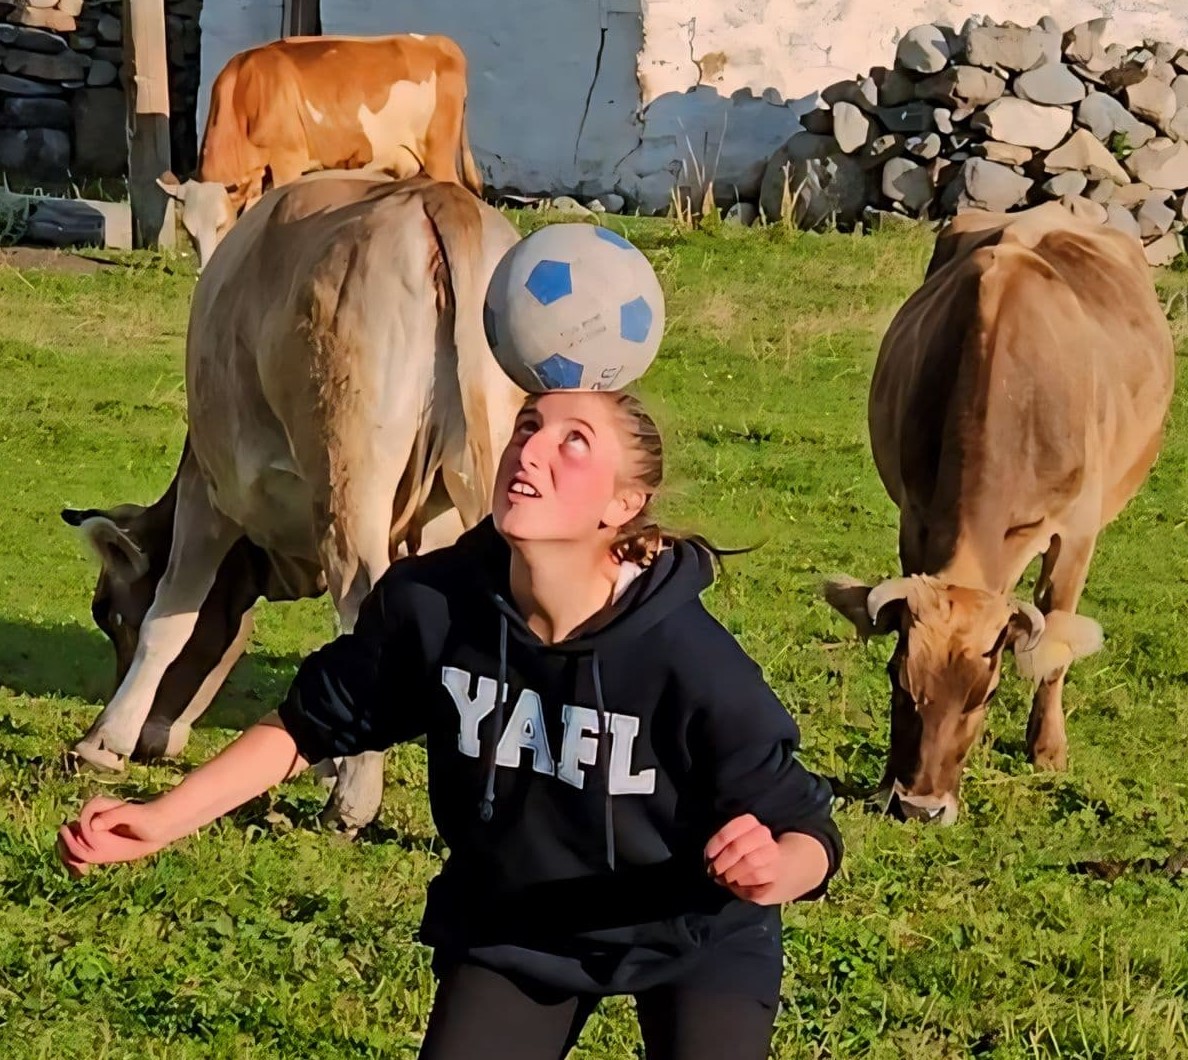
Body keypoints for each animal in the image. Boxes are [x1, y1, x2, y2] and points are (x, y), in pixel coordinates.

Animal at [63, 173, 525, 831]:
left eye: (108, 613)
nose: (155, 741)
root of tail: (436, 196)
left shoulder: (210, 491)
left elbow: (170, 617)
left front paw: (105, 741)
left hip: (346, 477)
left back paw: (351, 804)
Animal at [156, 35, 482, 270]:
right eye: (188, 232)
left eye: (221, 224)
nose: (206, 270)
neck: (246, 96)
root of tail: (441, 42)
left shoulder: (287, 163)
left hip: (439, 156)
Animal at [826, 200, 1178, 827]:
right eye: (898, 679)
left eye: (985, 694)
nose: (920, 807)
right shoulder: (915, 518)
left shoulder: (1076, 534)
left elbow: (1054, 643)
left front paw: (1048, 749)